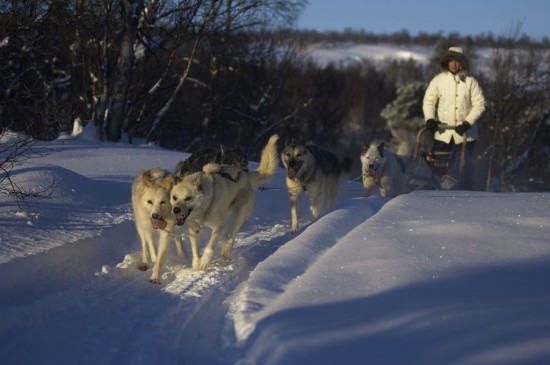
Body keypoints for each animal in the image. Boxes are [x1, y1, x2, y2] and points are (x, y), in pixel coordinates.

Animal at [171, 134, 280, 270]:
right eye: (174, 197)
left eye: (188, 198)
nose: (176, 210)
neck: (205, 206)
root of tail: (246, 176)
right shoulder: (194, 229)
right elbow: (195, 249)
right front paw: (196, 263)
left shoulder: (218, 226)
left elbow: (210, 247)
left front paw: (204, 262)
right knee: (226, 236)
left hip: (239, 215)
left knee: (231, 238)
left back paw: (226, 253)